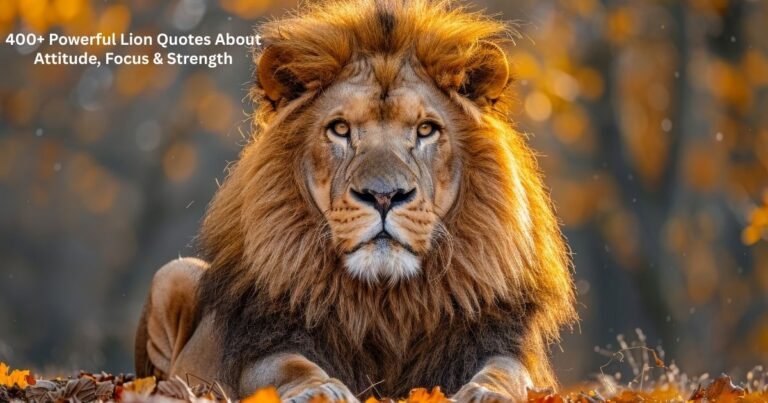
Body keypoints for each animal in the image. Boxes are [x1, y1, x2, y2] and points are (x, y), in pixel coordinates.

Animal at [134, 0, 577, 401]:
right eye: (341, 129)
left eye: (426, 130)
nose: (384, 195)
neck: (385, 302)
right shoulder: (266, 341)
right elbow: (286, 367)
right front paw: (320, 390)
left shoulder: (496, 338)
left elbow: (509, 373)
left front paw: (488, 392)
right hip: (173, 274)